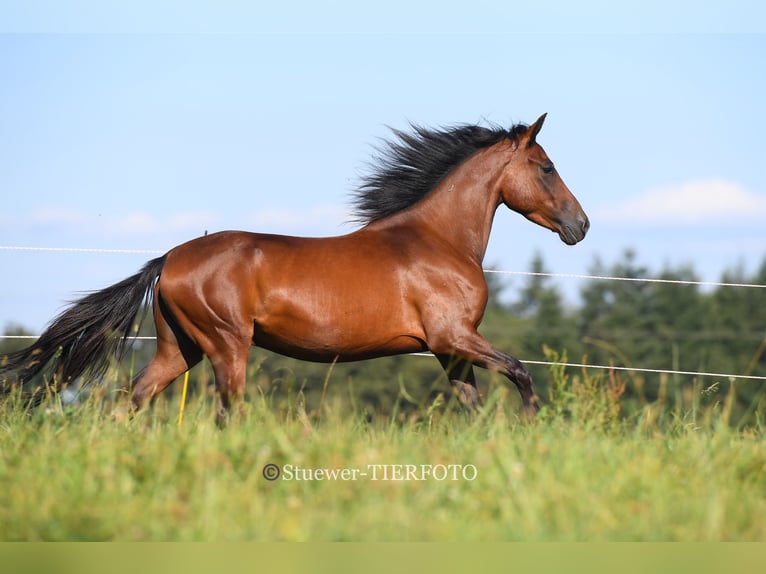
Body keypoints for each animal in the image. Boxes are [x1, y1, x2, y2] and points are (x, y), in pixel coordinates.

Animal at [0, 113, 589, 423]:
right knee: (225, 410)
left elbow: (473, 405)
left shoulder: (449, 348)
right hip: (226, 345)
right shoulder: (454, 336)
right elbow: (520, 370)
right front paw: (534, 427)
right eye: (546, 167)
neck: (437, 240)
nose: (580, 226)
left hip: (180, 348)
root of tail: (168, 260)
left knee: (136, 398)